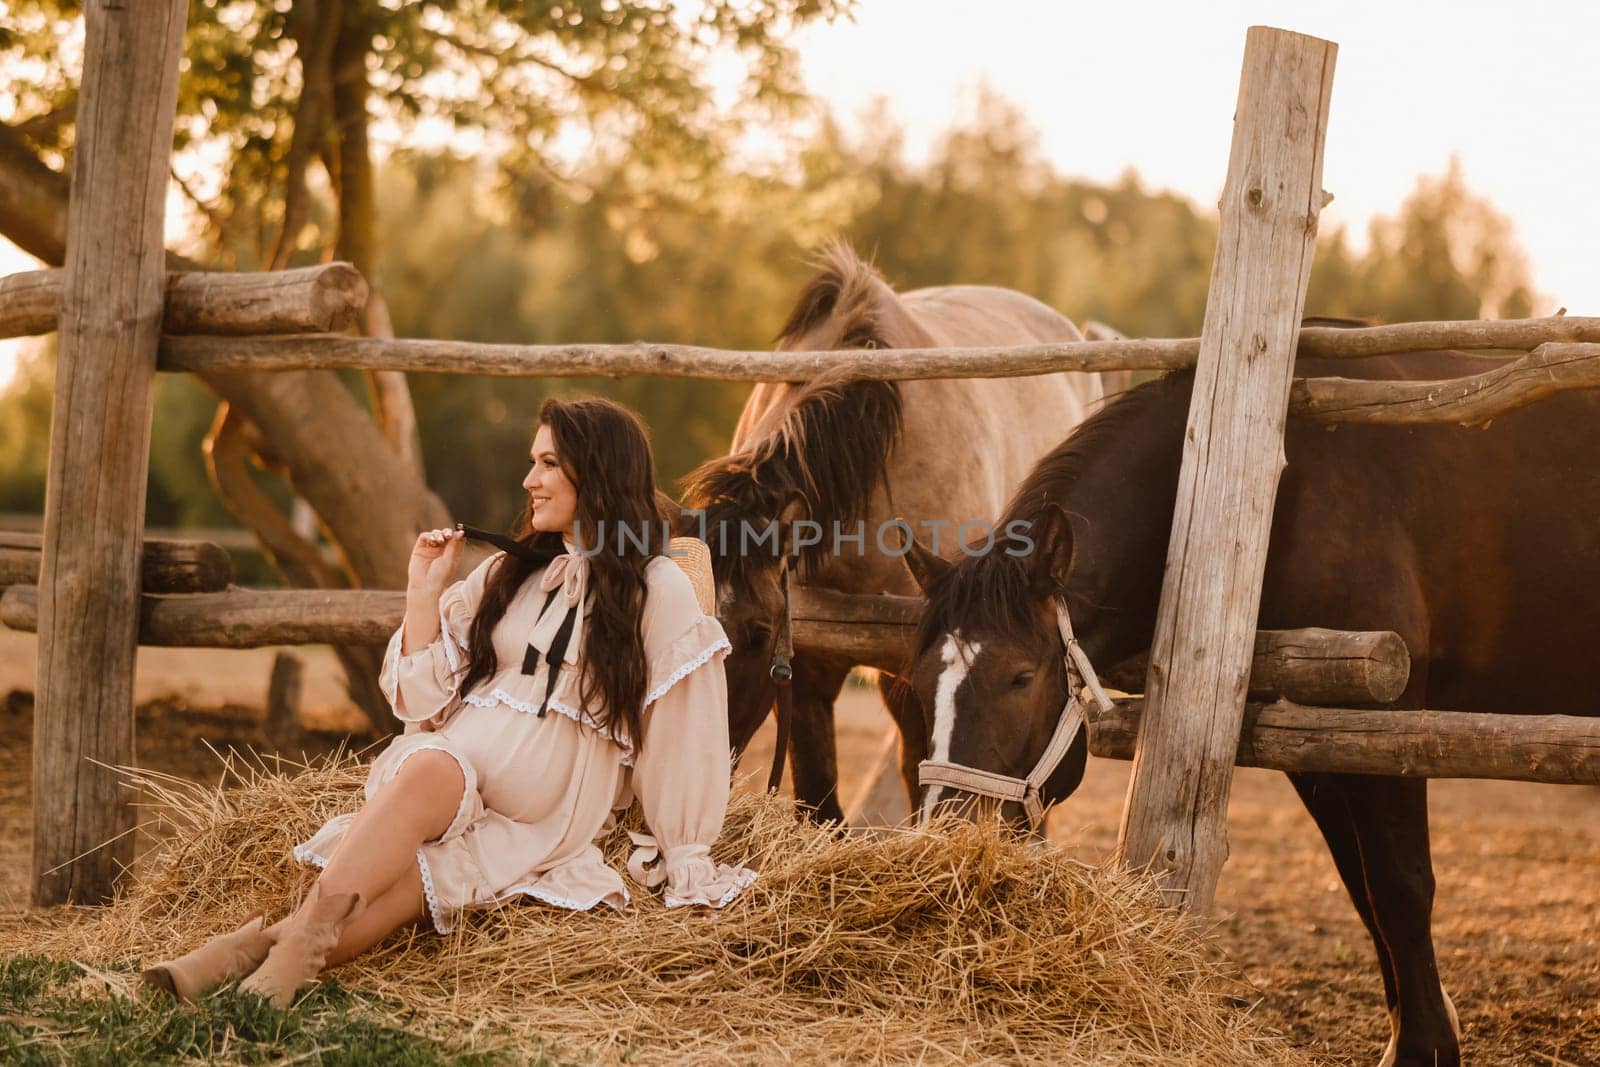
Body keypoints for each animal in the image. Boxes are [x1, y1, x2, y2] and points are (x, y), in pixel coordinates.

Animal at [896, 335, 1600, 1067]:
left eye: (1020, 677)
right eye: (918, 682)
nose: (949, 840)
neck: (1278, 491)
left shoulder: (1389, 722)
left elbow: (1401, 886)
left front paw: (1426, 1047)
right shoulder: (1318, 744)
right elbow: (1362, 886)